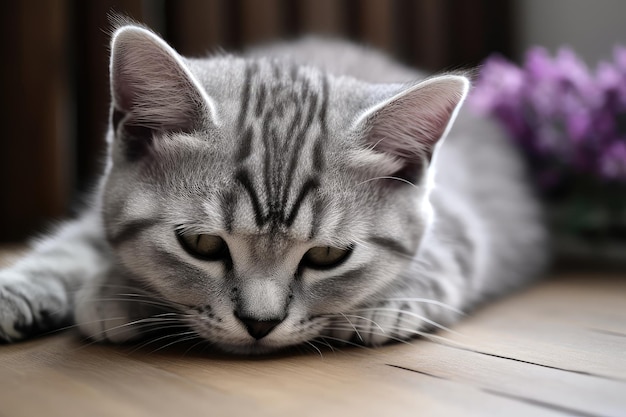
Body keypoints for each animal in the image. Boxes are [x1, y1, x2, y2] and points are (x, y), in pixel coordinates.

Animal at [0, 22, 544, 352]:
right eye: (202, 244)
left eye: (327, 255)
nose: (258, 324)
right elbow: (72, 246)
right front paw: (100, 289)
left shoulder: (460, 217)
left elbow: (443, 256)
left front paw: (387, 304)